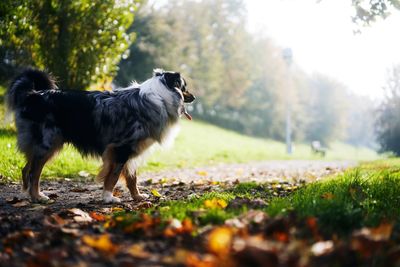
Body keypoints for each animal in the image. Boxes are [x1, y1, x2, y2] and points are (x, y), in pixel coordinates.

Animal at [5, 68, 195, 203]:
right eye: (184, 87)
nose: (194, 97)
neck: (159, 96)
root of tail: (33, 95)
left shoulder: (130, 151)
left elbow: (132, 178)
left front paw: (137, 197)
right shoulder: (121, 148)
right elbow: (114, 176)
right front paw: (108, 197)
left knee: (25, 169)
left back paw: (27, 195)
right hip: (48, 142)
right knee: (34, 172)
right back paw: (37, 196)